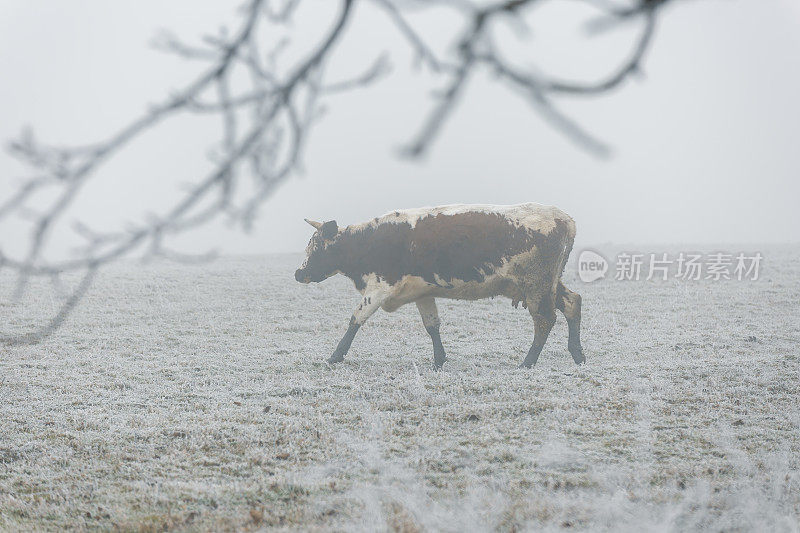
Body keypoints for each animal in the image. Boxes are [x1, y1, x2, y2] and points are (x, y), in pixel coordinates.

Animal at [296, 202, 584, 368]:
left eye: (317, 247)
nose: (299, 273)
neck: (369, 241)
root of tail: (565, 219)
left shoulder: (379, 288)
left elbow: (356, 319)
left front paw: (335, 356)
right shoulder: (422, 292)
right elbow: (432, 326)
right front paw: (439, 360)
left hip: (537, 286)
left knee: (544, 320)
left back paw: (528, 362)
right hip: (548, 285)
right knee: (572, 303)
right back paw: (578, 354)